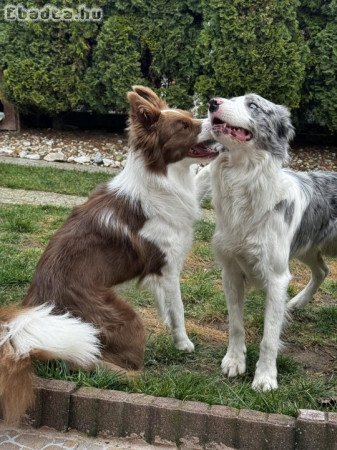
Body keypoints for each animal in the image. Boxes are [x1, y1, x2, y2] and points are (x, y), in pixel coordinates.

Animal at [0, 86, 217, 424]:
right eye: (184, 126)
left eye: (190, 117)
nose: (216, 119)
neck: (161, 175)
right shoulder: (168, 266)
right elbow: (180, 310)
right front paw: (183, 343)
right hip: (125, 320)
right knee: (103, 363)